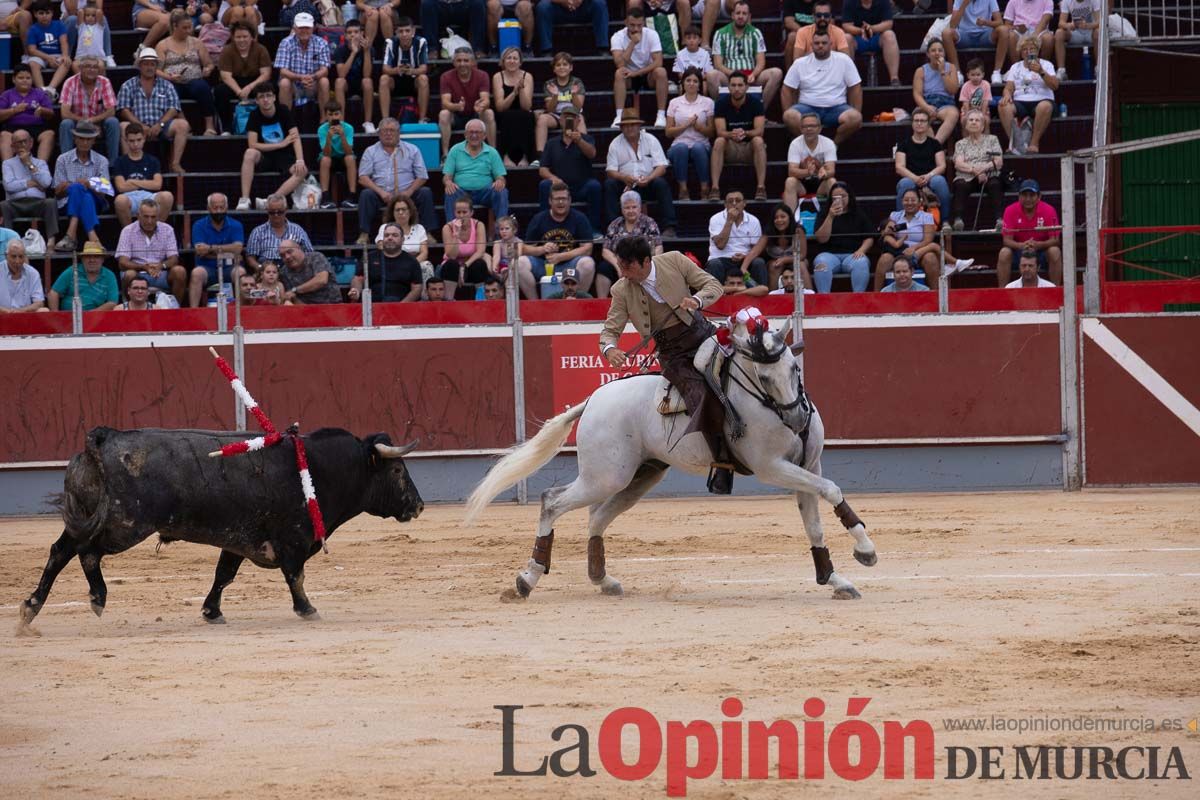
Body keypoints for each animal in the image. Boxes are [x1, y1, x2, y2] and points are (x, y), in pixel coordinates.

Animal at [18, 429, 424, 628]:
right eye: (397, 470)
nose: (418, 505)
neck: (316, 467)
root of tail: (102, 439)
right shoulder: (293, 539)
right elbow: (295, 576)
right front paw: (308, 609)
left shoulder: (239, 539)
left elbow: (223, 575)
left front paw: (212, 612)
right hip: (124, 524)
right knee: (85, 552)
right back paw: (96, 597)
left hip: (93, 517)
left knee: (62, 550)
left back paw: (32, 608)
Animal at [463, 311, 878, 599]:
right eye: (762, 377)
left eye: (794, 368)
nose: (795, 419)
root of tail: (594, 399)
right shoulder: (771, 467)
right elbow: (831, 488)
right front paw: (866, 551)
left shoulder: (807, 465)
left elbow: (815, 523)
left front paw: (836, 578)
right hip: (606, 476)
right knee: (552, 501)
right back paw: (526, 580)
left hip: (639, 476)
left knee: (597, 517)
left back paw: (604, 579)